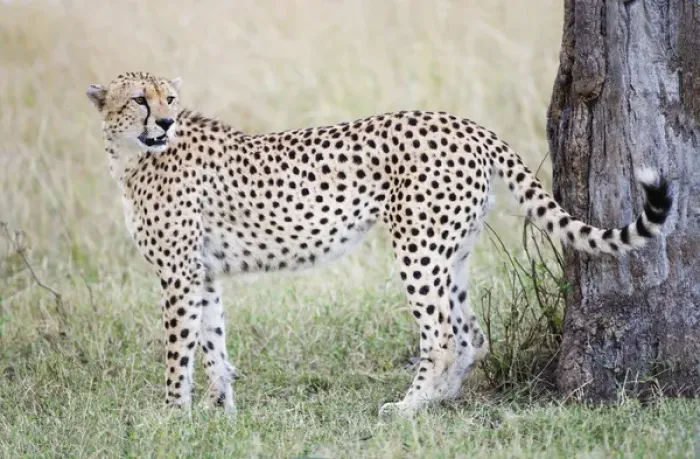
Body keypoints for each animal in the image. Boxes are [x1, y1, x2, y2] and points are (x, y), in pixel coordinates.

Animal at [86, 72, 672, 418]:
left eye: (169, 99)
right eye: (139, 99)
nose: (165, 121)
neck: (134, 154)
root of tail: (466, 124)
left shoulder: (178, 274)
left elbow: (178, 349)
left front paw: (172, 414)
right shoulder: (202, 272)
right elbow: (212, 343)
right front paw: (220, 409)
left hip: (418, 249)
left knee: (441, 335)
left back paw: (406, 408)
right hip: (451, 252)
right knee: (472, 334)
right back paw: (436, 400)